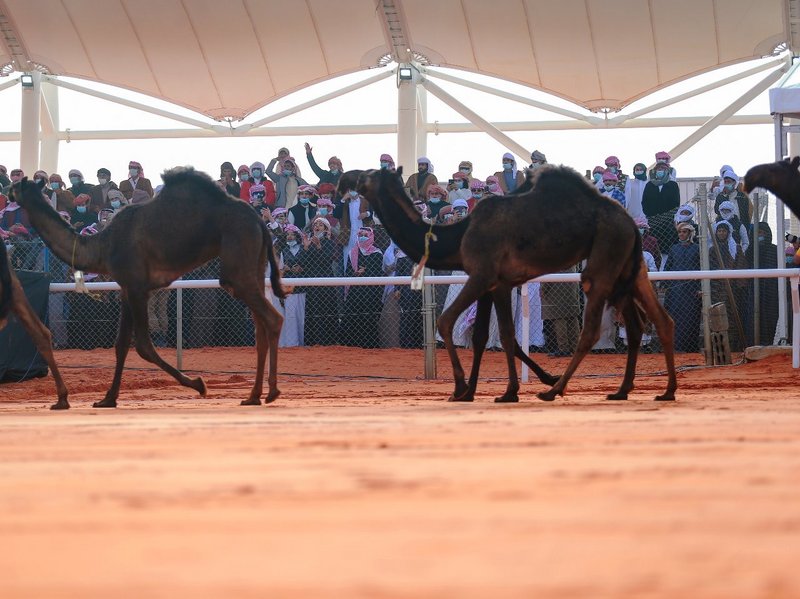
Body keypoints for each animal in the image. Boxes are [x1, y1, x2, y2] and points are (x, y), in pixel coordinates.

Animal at [10, 170, 286, 412]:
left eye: (15, 187)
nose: (7, 192)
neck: (102, 247)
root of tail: (259, 221)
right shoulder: (126, 289)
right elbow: (121, 344)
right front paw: (107, 399)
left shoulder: (137, 288)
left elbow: (143, 345)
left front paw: (199, 384)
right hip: (254, 265)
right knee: (260, 328)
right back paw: (253, 396)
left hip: (237, 260)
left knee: (272, 318)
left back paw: (272, 392)